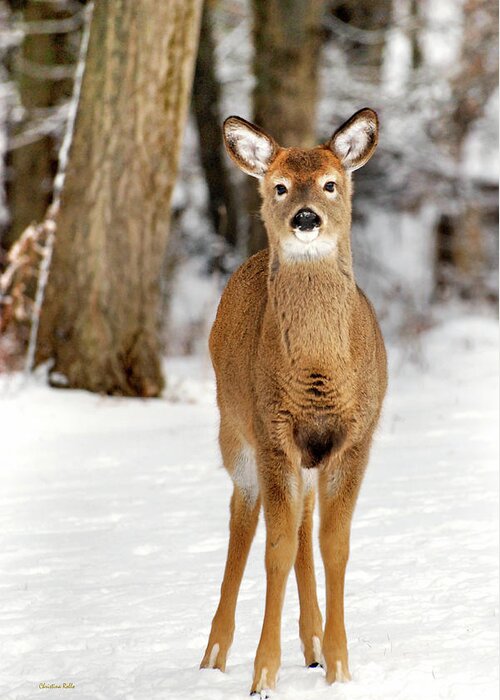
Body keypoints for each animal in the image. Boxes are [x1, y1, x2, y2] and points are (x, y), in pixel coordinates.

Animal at [199, 106, 386, 696]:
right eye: (279, 186)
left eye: (331, 183)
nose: (305, 218)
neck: (319, 374)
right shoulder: (273, 434)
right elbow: (275, 547)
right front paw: (262, 674)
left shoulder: (356, 437)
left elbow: (334, 544)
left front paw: (340, 665)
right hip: (233, 429)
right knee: (242, 516)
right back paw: (214, 654)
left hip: (305, 457)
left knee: (305, 521)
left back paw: (313, 645)